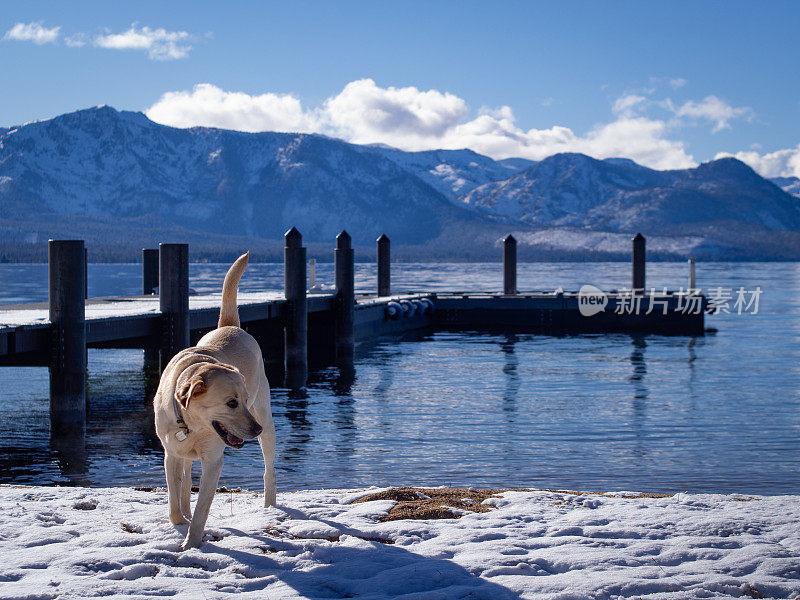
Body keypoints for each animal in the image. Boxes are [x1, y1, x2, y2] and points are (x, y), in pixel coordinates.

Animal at [155, 251, 276, 552]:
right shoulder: (170, 454)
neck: (190, 423)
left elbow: (202, 510)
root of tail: (229, 326)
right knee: (185, 480)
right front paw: (180, 522)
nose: (254, 429)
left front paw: (191, 542)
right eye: (231, 403)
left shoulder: (213, 461)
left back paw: (270, 507)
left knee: (269, 471)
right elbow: (174, 501)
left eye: (244, 400)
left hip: (266, 421)